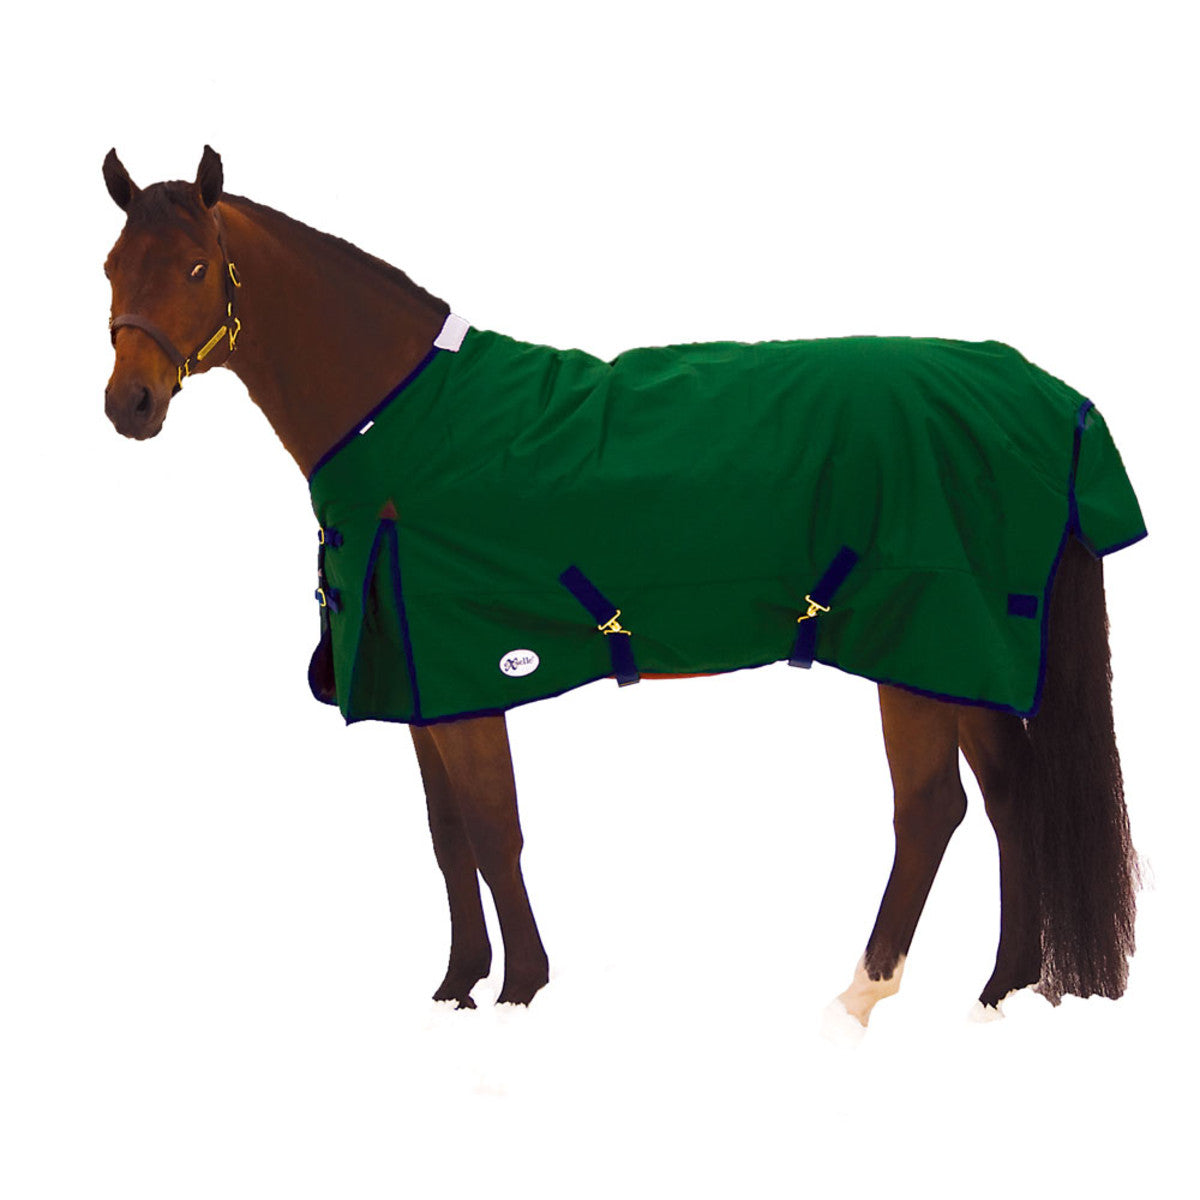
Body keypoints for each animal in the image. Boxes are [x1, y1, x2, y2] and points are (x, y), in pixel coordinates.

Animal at [101, 146, 1141, 1028]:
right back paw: (1002, 985)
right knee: (1012, 797)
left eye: (195, 268)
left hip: (915, 646)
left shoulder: (472, 667)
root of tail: (1050, 399)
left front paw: (519, 990)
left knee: (932, 811)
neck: (401, 426)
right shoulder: (424, 686)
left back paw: (863, 993)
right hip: (965, 657)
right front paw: (457, 986)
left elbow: (494, 830)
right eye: (112, 266)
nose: (129, 405)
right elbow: (446, 835)